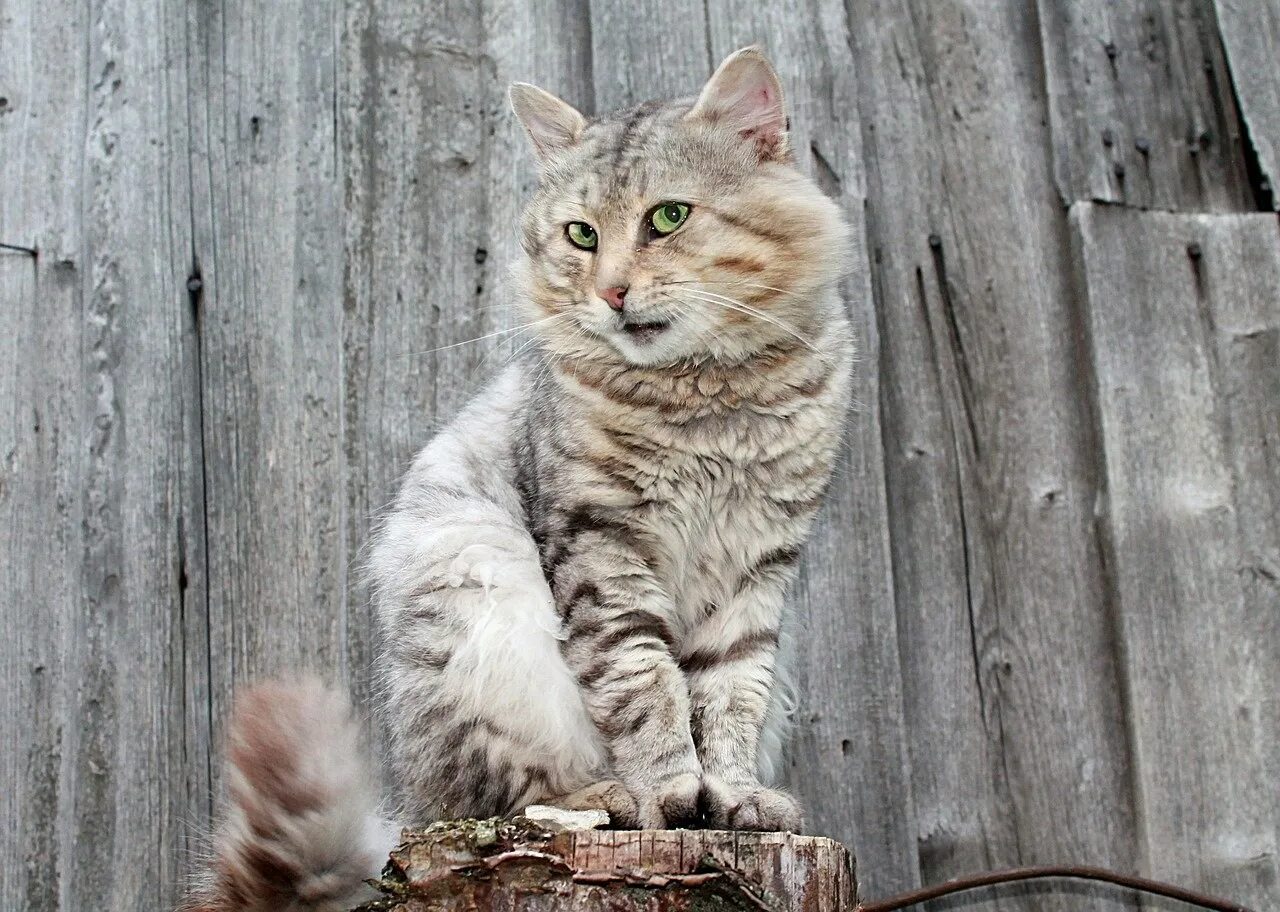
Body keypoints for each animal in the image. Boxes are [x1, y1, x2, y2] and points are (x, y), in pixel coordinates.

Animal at [185, 48, 855, 912]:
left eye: (668, 218)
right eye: (581, 235)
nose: (611, 292)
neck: (706, 399)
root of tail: (409, 807)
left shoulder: (757, 567)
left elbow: (729, 698)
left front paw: (734, 798)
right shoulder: (602, 547)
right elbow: (646, 684)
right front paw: (673, 792)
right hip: (483, 600)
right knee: (513, 795)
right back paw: (610, 800)